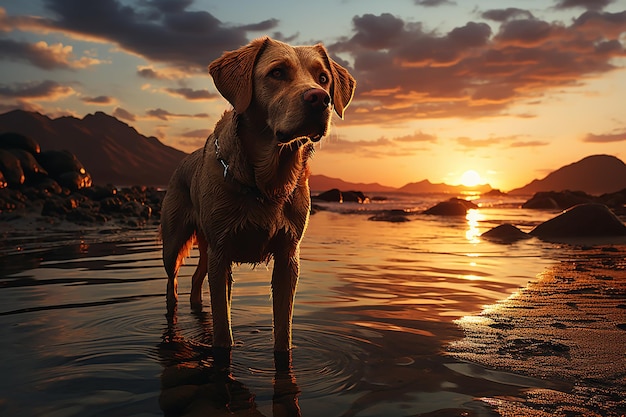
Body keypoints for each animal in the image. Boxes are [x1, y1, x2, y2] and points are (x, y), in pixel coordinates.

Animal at [160, 37, 356, 352]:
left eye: (323, 78)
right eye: (277, 73)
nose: (320, 98)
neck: (266, 183)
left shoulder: (288, 257)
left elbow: (282, 332)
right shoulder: (222, 252)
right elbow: (223, 332)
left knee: (196, 278)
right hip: (174, 241)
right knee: (172, 282)